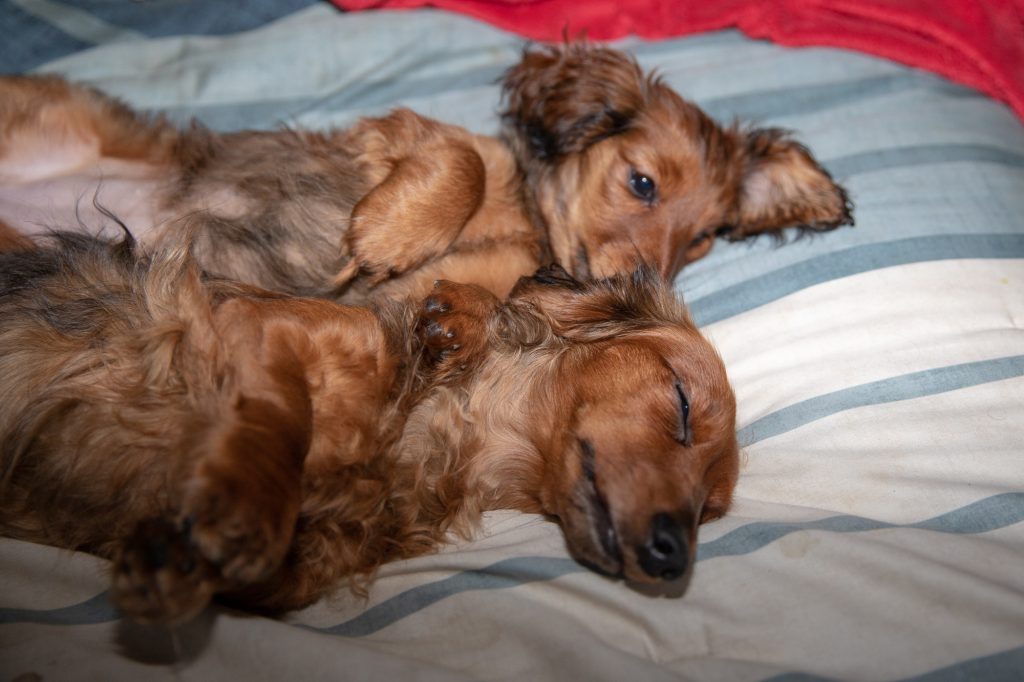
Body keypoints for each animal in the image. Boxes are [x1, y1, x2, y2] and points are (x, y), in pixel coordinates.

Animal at [0, 42, 851, 296]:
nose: (649, 282)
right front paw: (387, 236)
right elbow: (460, 163)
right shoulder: (401, 134)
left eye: (704, 239)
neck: (527, 221)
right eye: (642, 183)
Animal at [0, 232, 737, 622]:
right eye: (680, 402)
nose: (674, 555)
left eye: (709, 507)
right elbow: (277, 420)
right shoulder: (259, 326)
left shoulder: (294, 578)